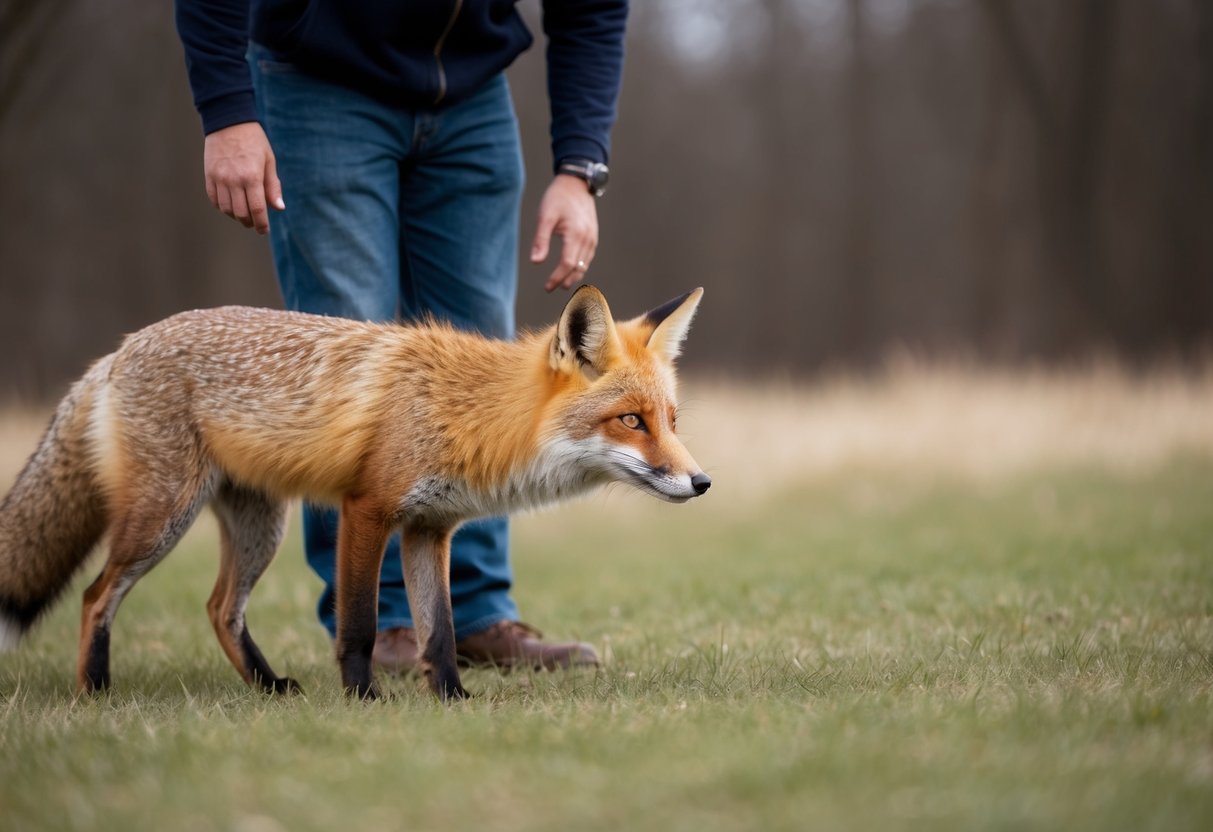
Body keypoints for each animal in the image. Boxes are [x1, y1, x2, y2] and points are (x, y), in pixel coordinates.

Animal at [0, 285, 708, 701]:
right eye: (630, 421)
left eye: (671, 421)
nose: (702, 482)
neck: (469, 413)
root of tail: (117, 352)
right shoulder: (366, 510)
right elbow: (362, 624)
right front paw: (363, 699)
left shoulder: (430, 528)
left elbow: (440, 630)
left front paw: (452, 699)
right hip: (161, 519)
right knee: (96, 596)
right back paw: (96, 690)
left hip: (259, 528)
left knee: (220, 607)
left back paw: (268, 688)